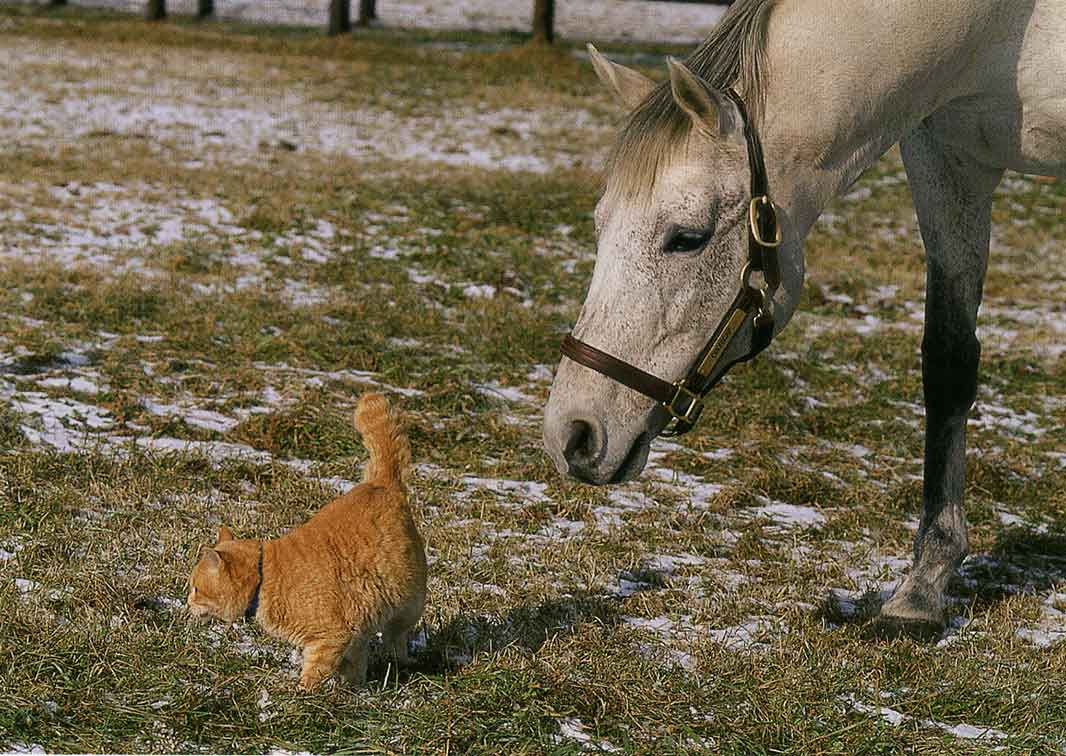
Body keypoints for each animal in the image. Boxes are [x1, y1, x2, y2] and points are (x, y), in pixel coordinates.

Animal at [187, 394, 424, 690]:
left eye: (196, 589)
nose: (186, 603)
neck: (266, 578)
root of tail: (382, 481)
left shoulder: (331, 637)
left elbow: (315, 671)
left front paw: (302, 693)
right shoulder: (351, 636)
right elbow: (350, 663)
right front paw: (348, 688)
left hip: (408, 606)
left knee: (397, 638)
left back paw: (401, 662)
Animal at [545, 0, 1061, 635]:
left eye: (687, 238)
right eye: (599, 224)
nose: (571, 435)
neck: (1003, 27)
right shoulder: (946, 158)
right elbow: (949, 365)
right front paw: (923, 586)